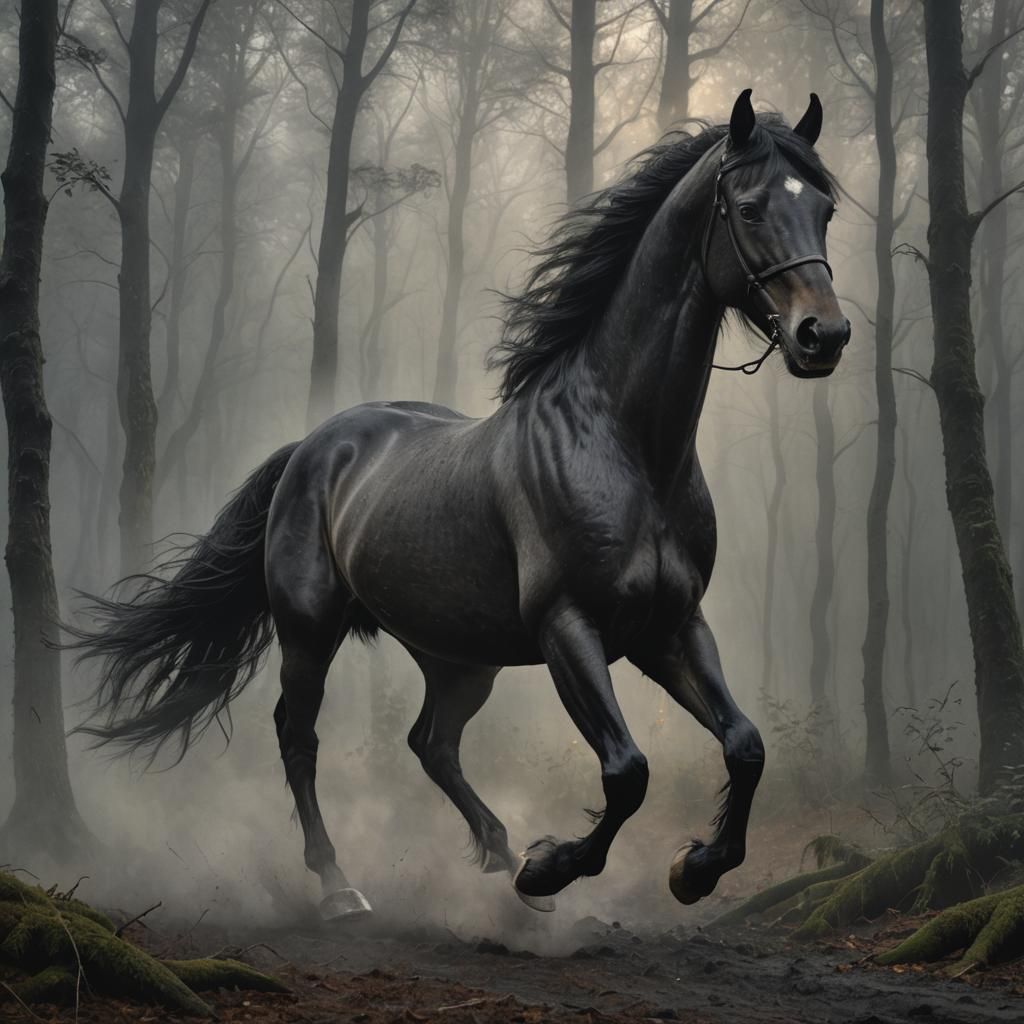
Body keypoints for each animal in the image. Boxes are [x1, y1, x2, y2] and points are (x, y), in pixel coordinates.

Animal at [69, 90, 849, 921]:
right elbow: (627, 771)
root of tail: (312, 446)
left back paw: (500, 860)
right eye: (749, 207)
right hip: (311, 631)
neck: (628, 449)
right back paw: (345, 886)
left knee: (431, 744)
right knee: (299, 737)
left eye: (825, 208)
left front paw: (692, 869)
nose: (824, 335)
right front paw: (552, 867)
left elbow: (745, 745)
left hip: (458, 657)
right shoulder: (569, 628)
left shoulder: (670, 627)